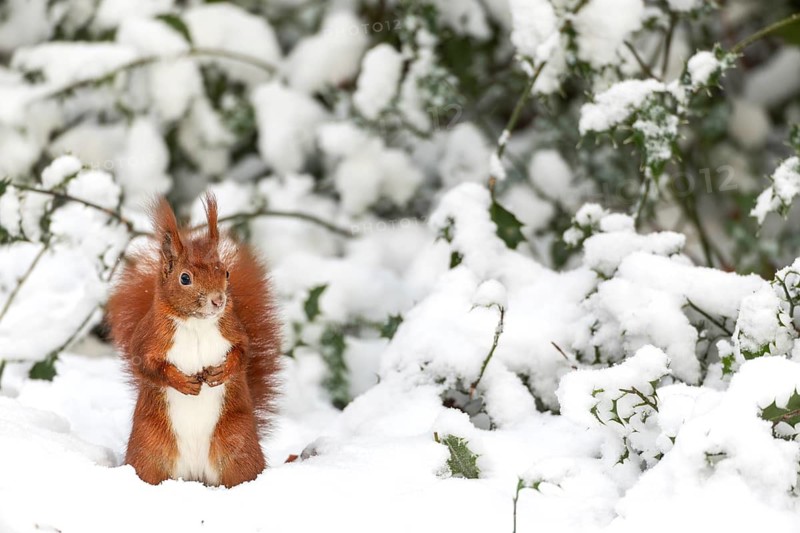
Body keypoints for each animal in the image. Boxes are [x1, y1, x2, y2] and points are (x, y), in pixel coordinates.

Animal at [106, 193, 281, 488]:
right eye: (185, 278)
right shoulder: (147, 338)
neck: (196, 323)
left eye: (226, 273)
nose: (218, 300)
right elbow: (146, 365)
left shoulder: (234, 331)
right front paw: (181, 381)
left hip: (237, 447)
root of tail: (194, 475)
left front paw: (222, 371)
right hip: (149, 450)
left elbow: (244, 353)